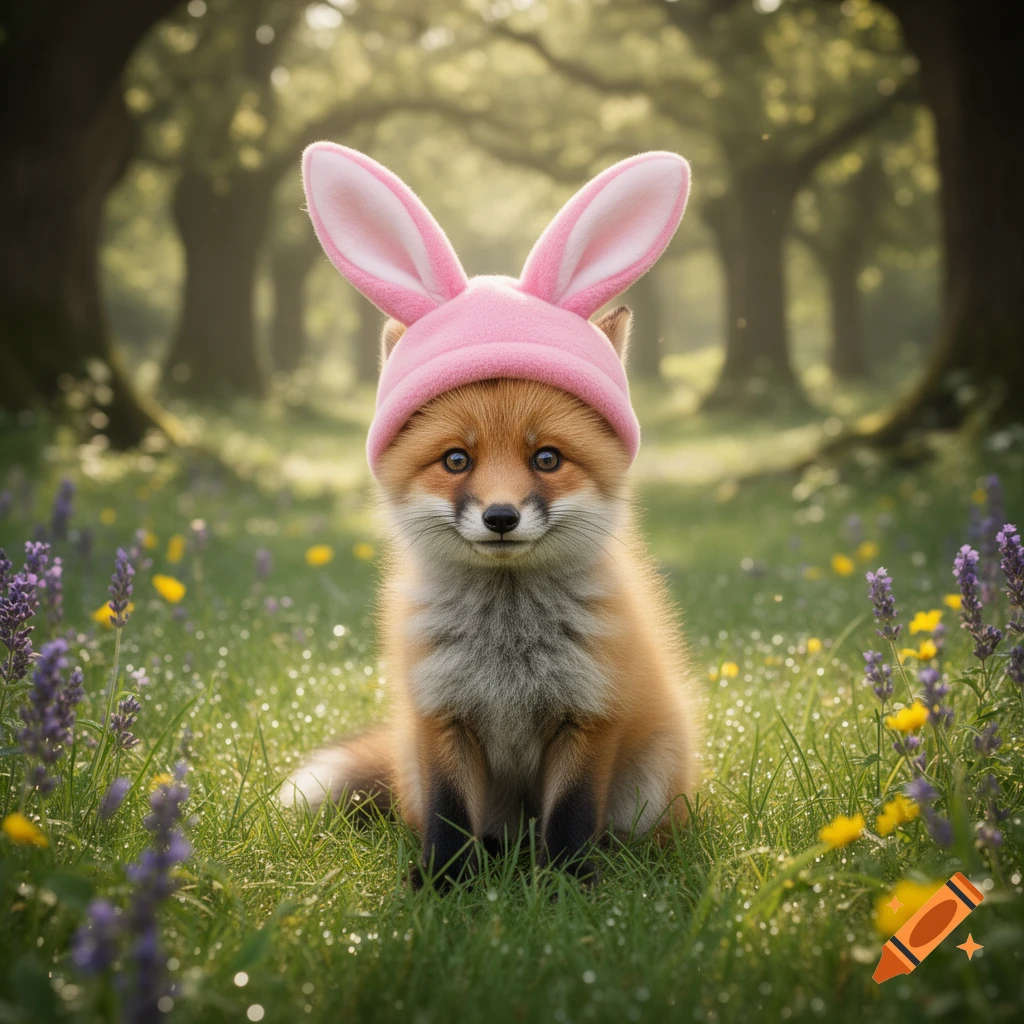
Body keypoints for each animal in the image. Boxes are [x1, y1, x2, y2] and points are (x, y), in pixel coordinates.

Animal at [282, 143, 701, 887]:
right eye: (456, 460)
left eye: (546, 458)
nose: (501, 517)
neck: (507, 649)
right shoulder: (440, 719)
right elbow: (450, 818)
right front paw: (441, 887)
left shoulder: (589, 717)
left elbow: (571, 818)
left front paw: (566, 890)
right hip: (420, 768)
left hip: (650, 784)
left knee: (616, 834)